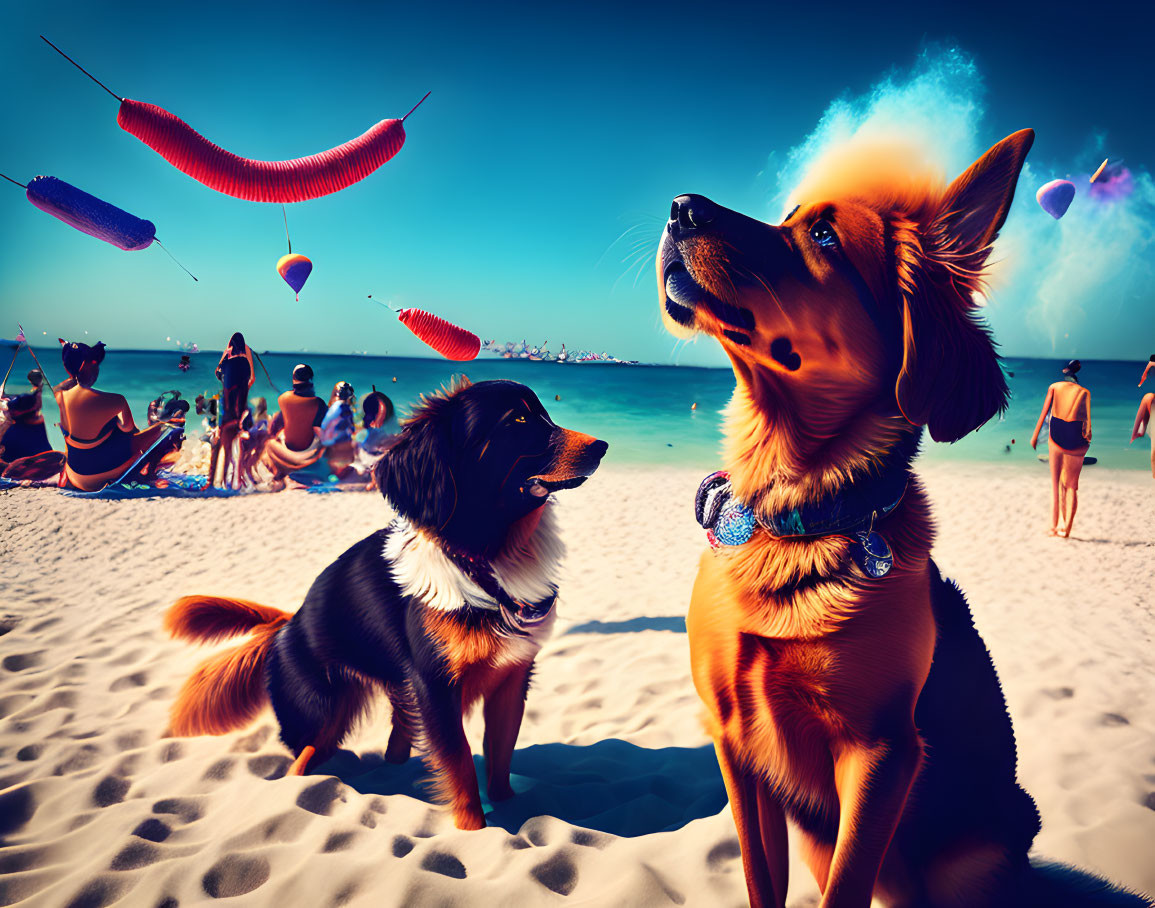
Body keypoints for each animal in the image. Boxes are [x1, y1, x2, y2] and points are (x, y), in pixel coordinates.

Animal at [168, 376, 614, 827]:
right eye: (518, 421)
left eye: (545, 414)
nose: (603, 446)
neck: (487, 556)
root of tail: (290, 623)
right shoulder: (436, 686)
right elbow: (460, 765)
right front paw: (474, 830)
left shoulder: (512, 676)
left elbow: (501, 755)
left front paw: (510, 809)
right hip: (319, 710)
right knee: (303, 758)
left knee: (396, 735)